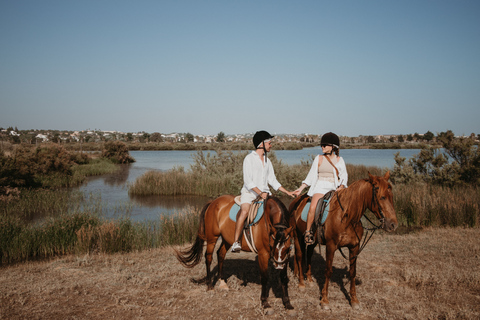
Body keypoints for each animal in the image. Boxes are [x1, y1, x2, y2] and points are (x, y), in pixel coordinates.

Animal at [288, 172, 398, 310]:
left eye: (391, 197)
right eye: (382, 197)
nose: (393, 225)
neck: (346, 217)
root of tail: (295, 202)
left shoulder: (354, 247)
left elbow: (352, 272)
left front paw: (354, 300)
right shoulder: (331, 246)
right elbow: (328, 271)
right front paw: (324, 300)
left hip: (313, 241)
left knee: (309, 254)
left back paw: (309, 280)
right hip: (297, 236)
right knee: (299, 256)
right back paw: (302, 283)